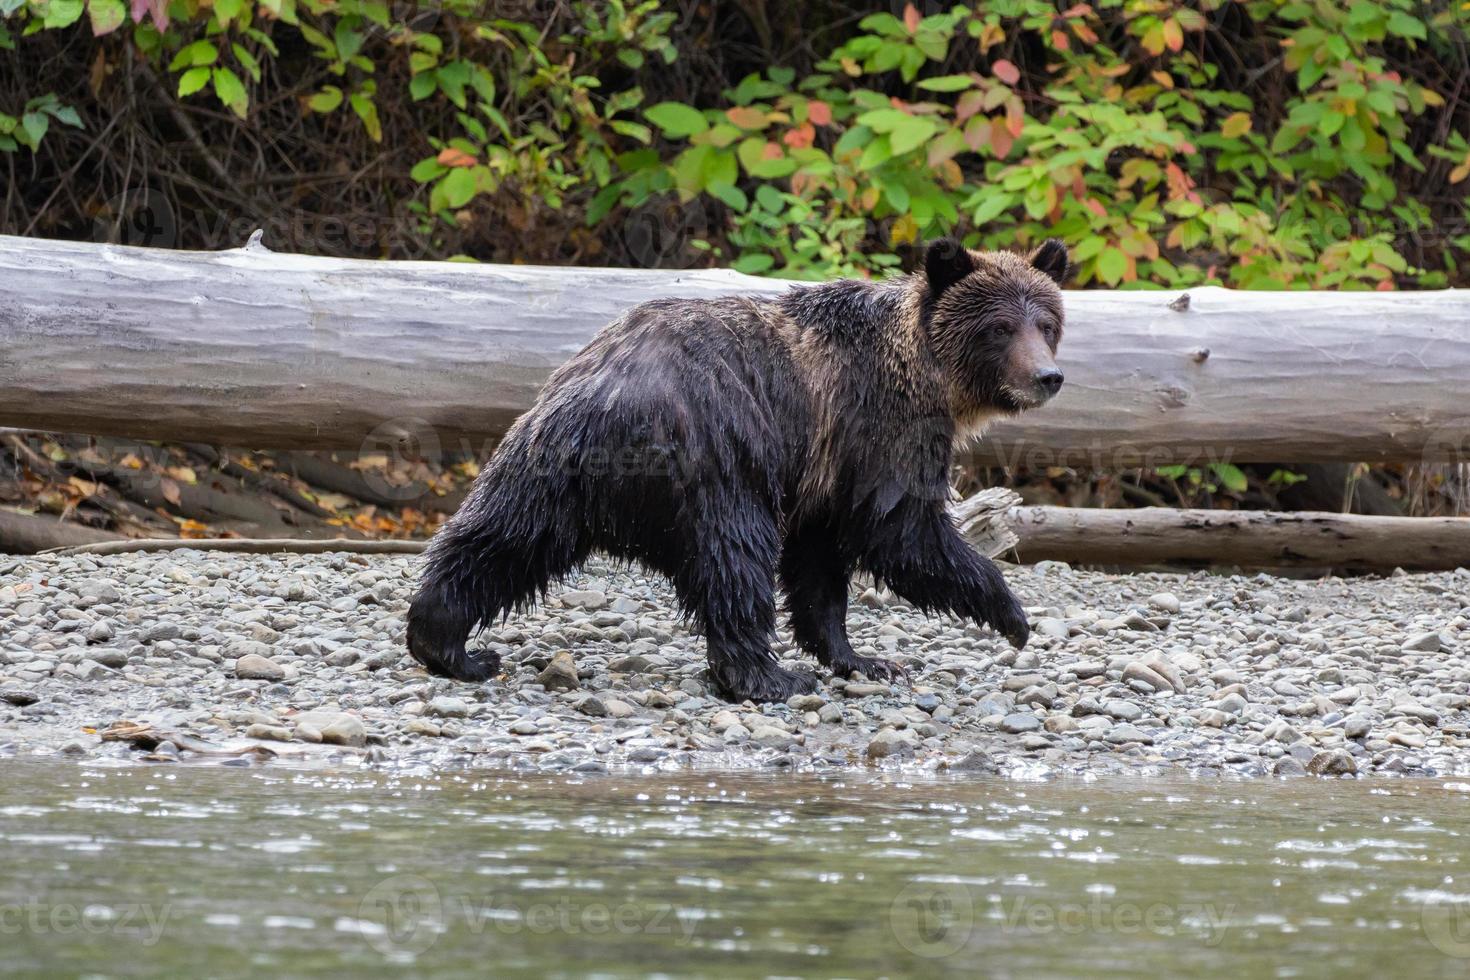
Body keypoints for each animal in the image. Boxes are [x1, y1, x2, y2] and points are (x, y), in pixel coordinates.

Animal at [402, 240, 1070, 702]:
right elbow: (900, 530)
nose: (1047, 376)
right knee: (734, 557)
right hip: (713, 459)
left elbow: (821, 563)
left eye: (1047, 322)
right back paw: (767, 675)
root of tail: (607, 402)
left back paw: (446, 643)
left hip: (543, 460)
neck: (931, 375)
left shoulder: (822, 473)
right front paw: (1012, 615)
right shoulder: (879, 427)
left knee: (500, 537)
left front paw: (863, 658)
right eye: (1000, 327)